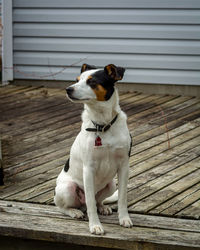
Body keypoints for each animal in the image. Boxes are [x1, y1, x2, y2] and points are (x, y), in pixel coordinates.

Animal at [54, 63, 133, 234]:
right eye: (77, 79)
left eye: (92, 81)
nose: (68, 89)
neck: (103, 125)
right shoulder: (88, 169)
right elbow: (90, 204)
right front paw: (95, 225)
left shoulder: (124, 166)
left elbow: (122, 198)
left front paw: (124, 219)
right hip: (68, 188)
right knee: (64, 207)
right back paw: (74, 212)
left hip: (111, 184)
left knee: (97, 201)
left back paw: (103, 207)